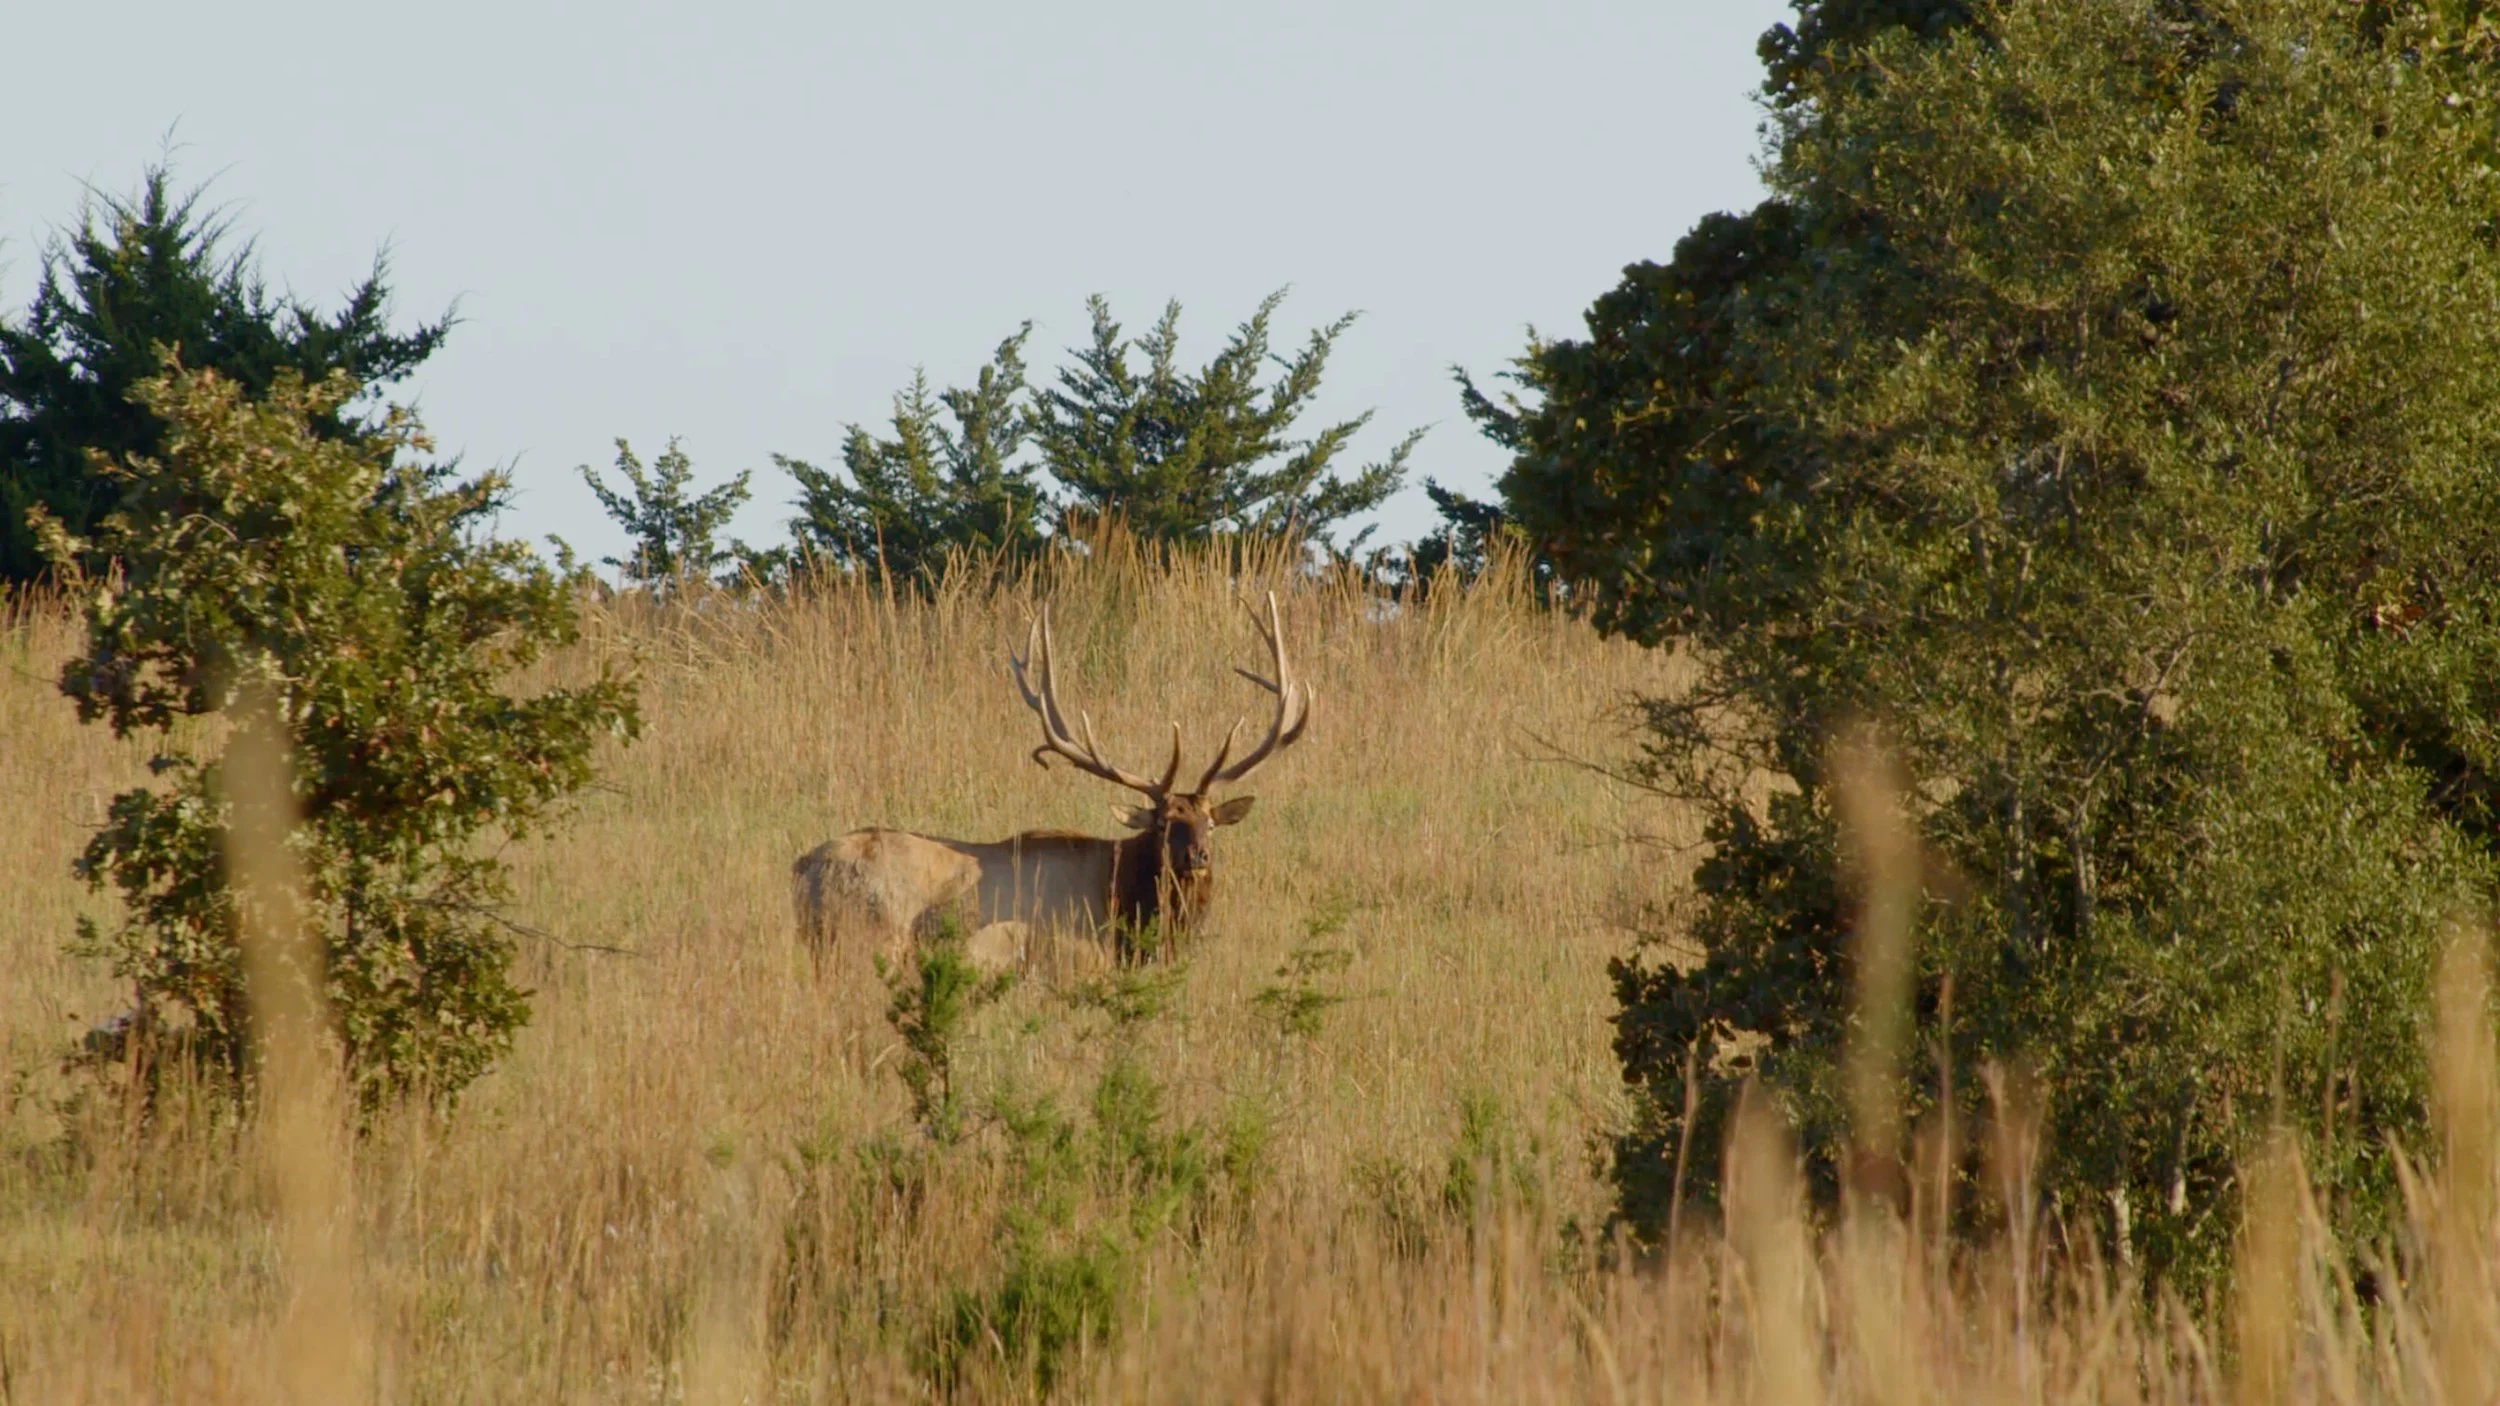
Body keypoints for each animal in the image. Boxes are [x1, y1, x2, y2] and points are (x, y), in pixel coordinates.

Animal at [792, 592, 1311, 973]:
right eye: (1163, 822)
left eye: (1211, 822)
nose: (1197, 856)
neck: (1126, 908)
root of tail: (803, 869)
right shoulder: (1070, 964)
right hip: (863, 941)